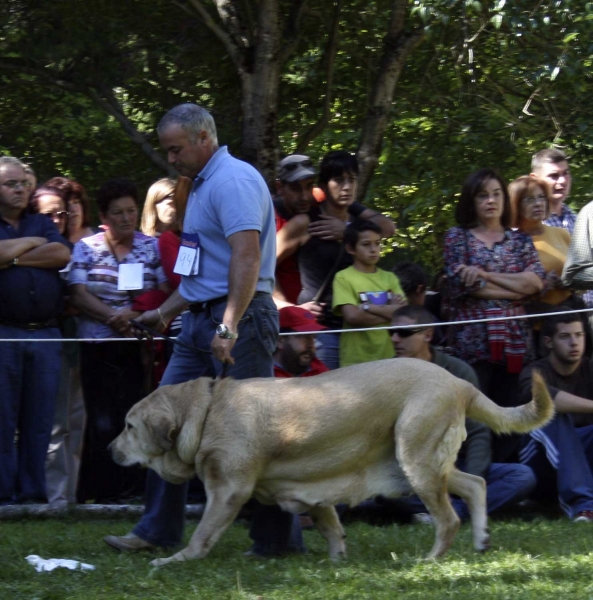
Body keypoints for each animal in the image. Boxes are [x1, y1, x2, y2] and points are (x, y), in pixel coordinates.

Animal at [110, 358, 552, 564]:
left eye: (129, 426)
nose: (109, 449)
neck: (201, 415)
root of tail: (459, 382)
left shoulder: (227, 492)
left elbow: (201, 535)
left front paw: (172, 560)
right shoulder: (312, 494)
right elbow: (331, 526)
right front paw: (338, 560)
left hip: (416, 461)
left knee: (448, 518)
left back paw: (430, 559)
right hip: (417, 466)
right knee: (476, 485)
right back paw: (481, 539)